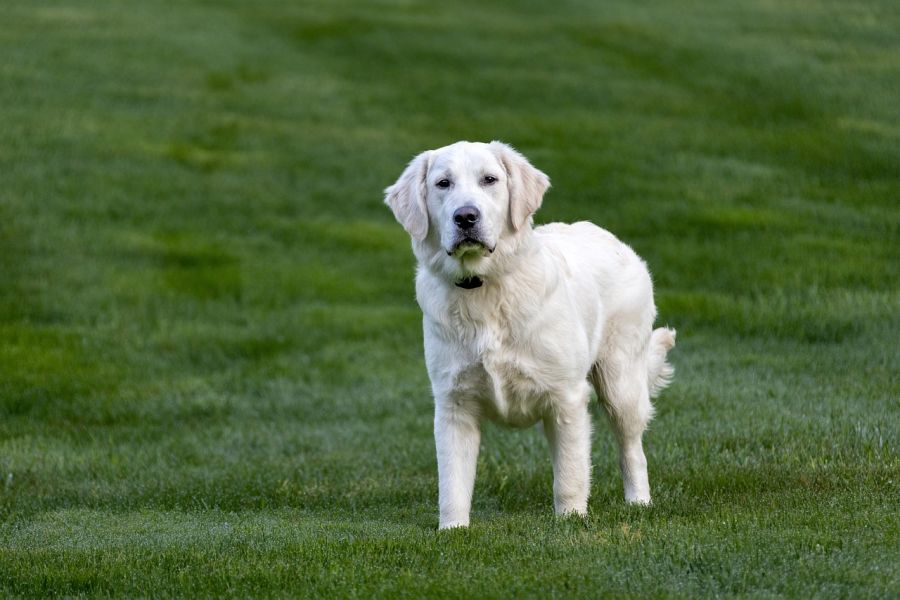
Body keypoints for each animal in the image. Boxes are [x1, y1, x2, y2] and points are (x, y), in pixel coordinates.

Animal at [384, 142, 672, 528]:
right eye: (443, 183)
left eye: (489, 180)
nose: (466, 217)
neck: (484, 288)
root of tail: (614, 240)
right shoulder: (453, 403)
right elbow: (453, 482)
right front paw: (452, 529)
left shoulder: (566, 398)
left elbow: (570, 474)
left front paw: (570, 520)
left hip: (620, 384)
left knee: (632, 449)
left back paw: (638, 503)